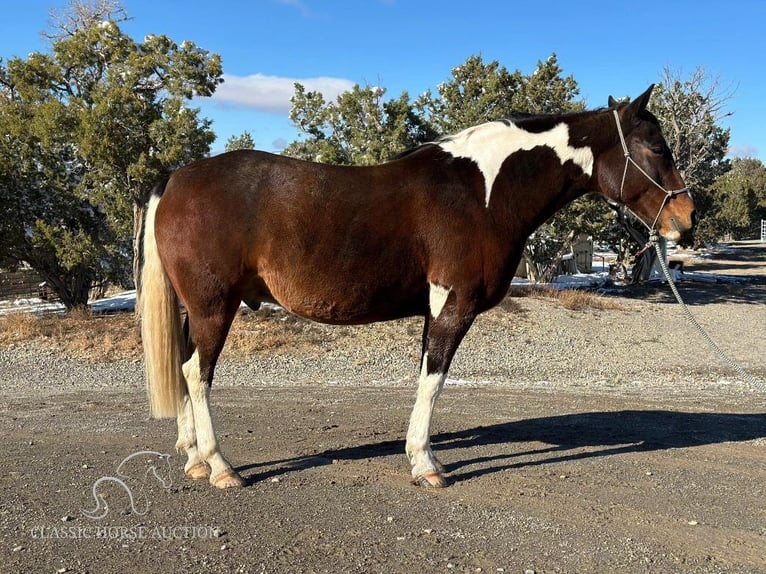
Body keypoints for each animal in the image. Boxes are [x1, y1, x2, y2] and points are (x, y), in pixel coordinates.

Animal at [138, 85, 696, 490]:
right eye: (655, 147)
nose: (687, 219)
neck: (482, 192)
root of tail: (176, 178)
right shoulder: (454, 305)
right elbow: (434, 380)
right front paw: (425, 464)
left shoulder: (435, 309)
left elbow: (426, 376)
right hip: (215, 306)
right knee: (196, 373)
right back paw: (220, 466)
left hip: (198, 309)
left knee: (185, 367)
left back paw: (193, 457)